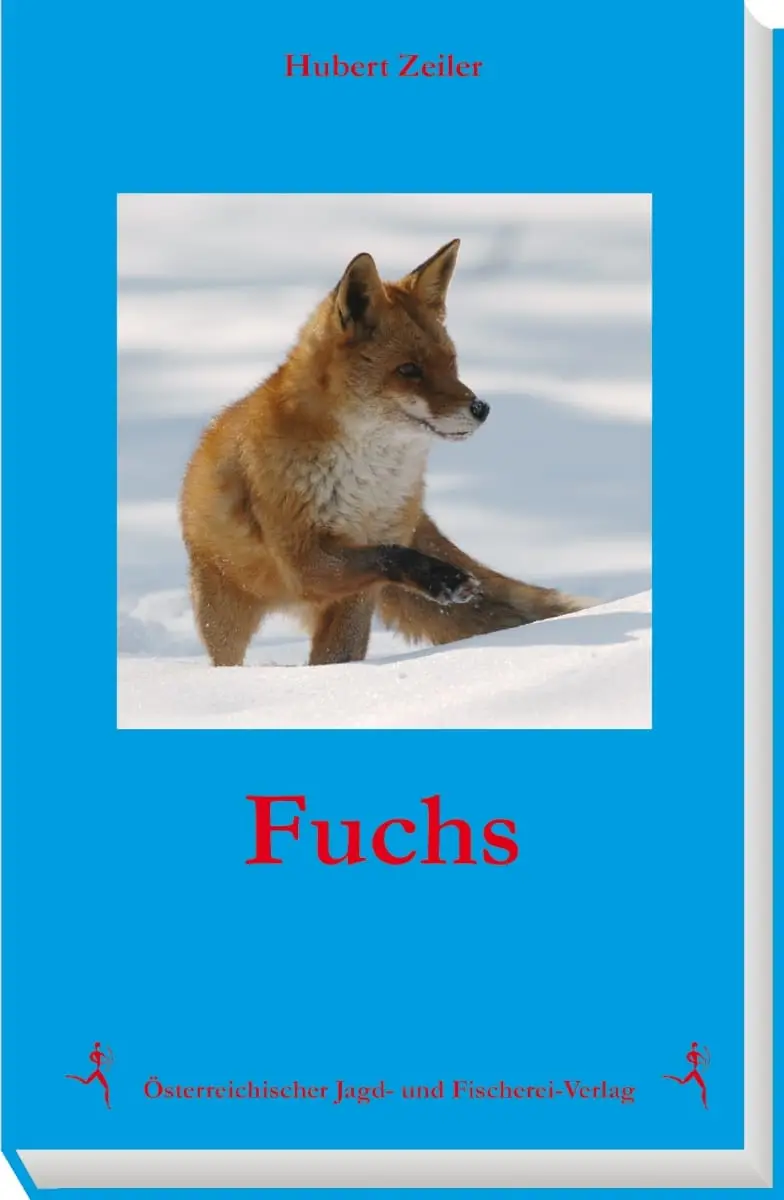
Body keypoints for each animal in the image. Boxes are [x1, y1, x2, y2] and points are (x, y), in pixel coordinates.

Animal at [180, 239, 590, 667]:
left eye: (451, 362)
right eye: (409, 370)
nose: (481, 408)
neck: (367, 485)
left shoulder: (360, 585)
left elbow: (345, 645)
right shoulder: (305, 562)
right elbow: (389, 556)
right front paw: (440, 578)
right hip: (223, 612)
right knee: (225, 659)